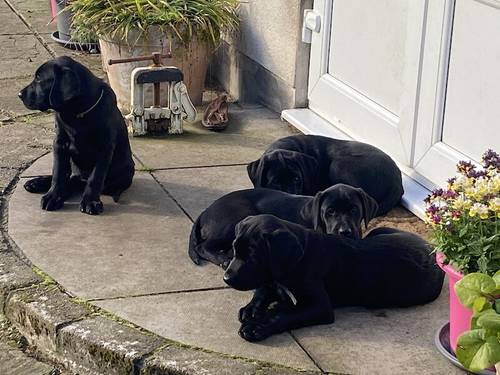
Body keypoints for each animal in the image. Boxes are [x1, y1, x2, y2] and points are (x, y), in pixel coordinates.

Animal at [18, 55, 134, 214]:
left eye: (39, 79)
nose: (19, 94)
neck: (76, 112)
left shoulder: (105, 148)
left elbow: (95, 177)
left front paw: (90, 202)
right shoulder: (59, 143)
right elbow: (58, 172)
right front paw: (53, 196)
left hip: (125, 172)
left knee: (79, 182)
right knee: (68, 177)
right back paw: (37, 182)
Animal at [189, 184, 376, 268]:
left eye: (354, 209)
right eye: (329, 211)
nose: (344, 231)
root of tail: (206, 211)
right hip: (236, 218)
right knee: (202, 246)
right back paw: (223, 260)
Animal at [225, 216, 444, 342]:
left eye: (253, 257)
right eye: (234, 248)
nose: (226, 278)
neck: (298, 260)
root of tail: (431, 246)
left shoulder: (321, 307)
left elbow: (284, 314)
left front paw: (258, 326)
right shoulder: (272, 278)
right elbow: (264, 289)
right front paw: (251, 309)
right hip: (379, 231)